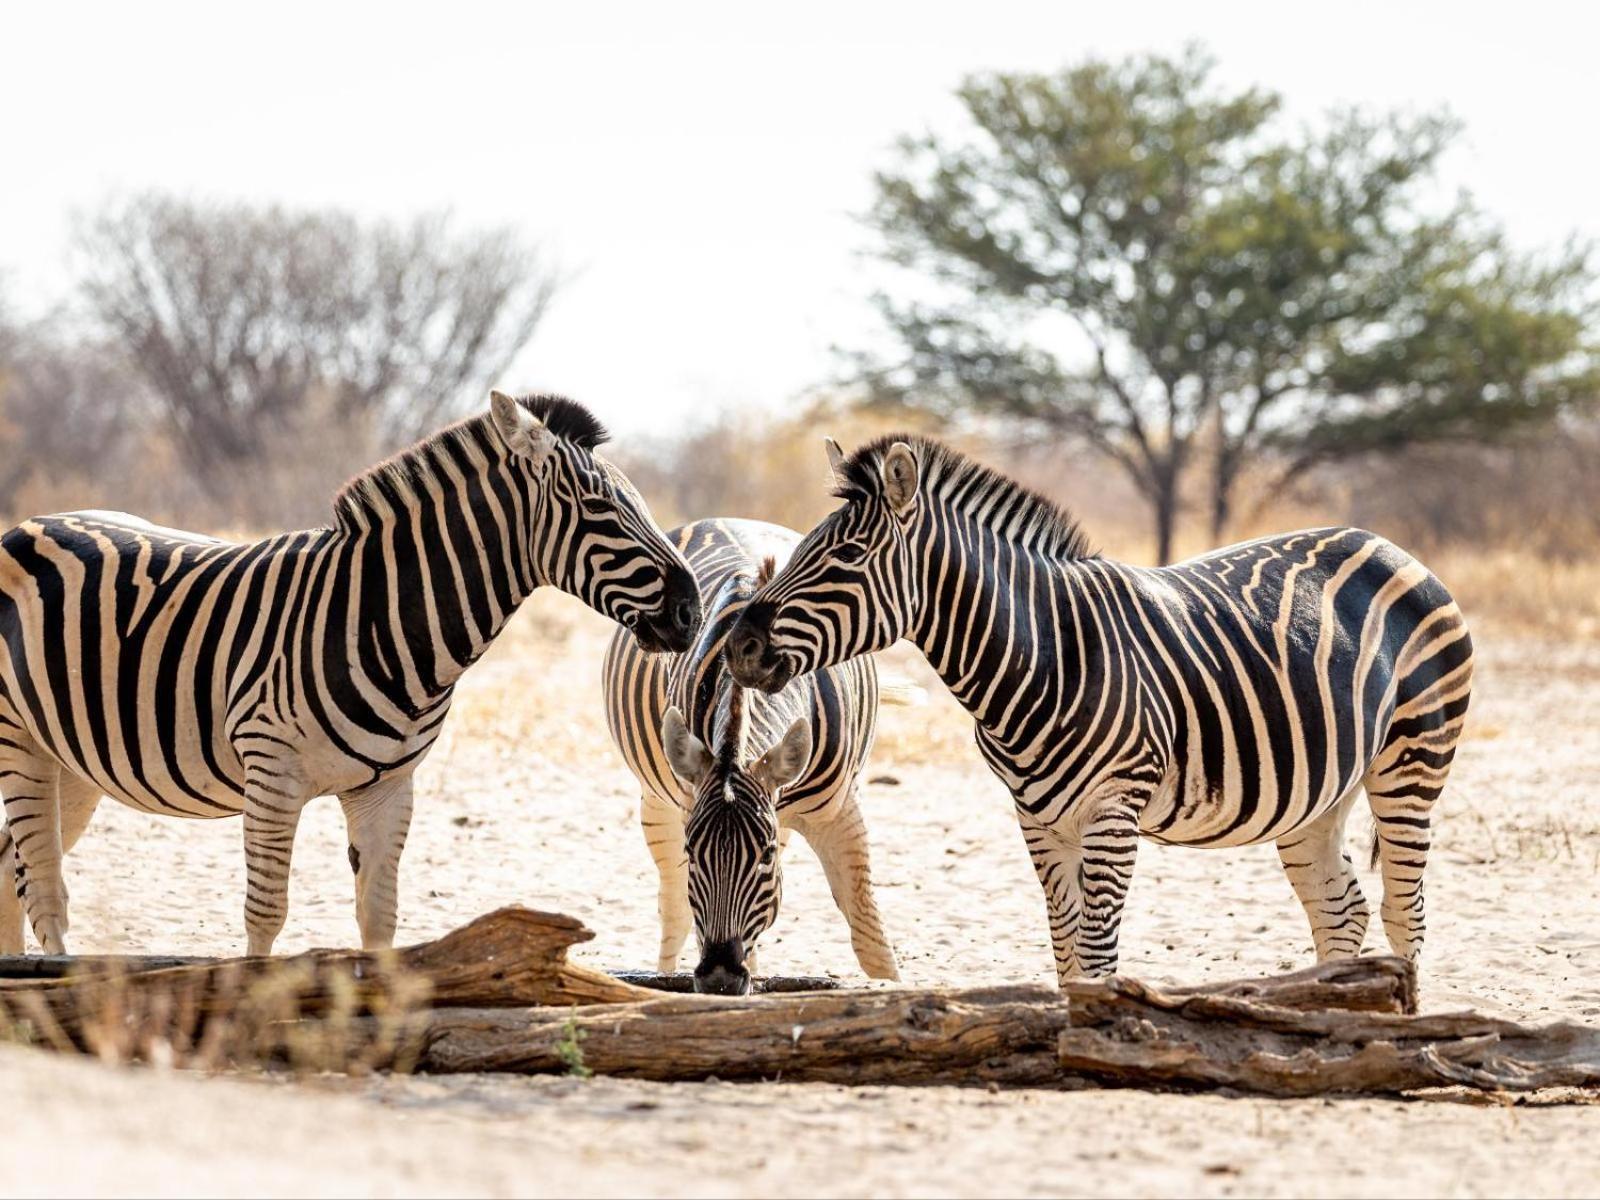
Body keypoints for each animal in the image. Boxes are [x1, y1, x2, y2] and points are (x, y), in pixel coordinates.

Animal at [0, 395, 700, 960]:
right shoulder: (271, 773)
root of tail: (33, 520)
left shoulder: (386, 786)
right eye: (598, 508)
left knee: (15, 866)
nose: (691, 612)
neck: (372, 613)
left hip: (75, 758)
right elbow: (266, 913)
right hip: (18, 738)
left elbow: (379, 917)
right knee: (43, 886)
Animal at [601, 518, 902, 998]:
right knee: (673, 910)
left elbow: (871, 939)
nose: (721, 980)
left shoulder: (839, 813)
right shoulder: (689, 802)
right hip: (657, 800)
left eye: (764, 856)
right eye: (693, 852)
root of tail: (723, 520)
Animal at [726, 438, 1472, 979]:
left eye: (846, 555)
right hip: (1319, 791)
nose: (739, 644)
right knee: (1340, 910)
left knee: (1405, 910)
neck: (1042, 654)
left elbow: (1095, 948)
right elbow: (1065, 949)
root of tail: (1383, 542)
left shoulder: (1114, 807)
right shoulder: (1036, 815)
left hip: (1411, 762)